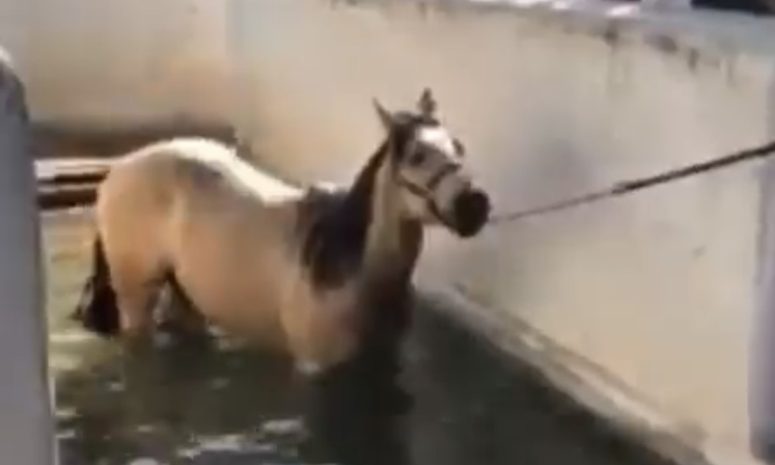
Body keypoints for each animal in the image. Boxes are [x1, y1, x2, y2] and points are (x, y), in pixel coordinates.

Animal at [74, 88, 491, 375]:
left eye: (458, 147)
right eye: (417, 156)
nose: (475, 205)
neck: (357, 270)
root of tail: (115, 172)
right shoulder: (318, 366)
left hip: (186, 293)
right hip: (136, 292)